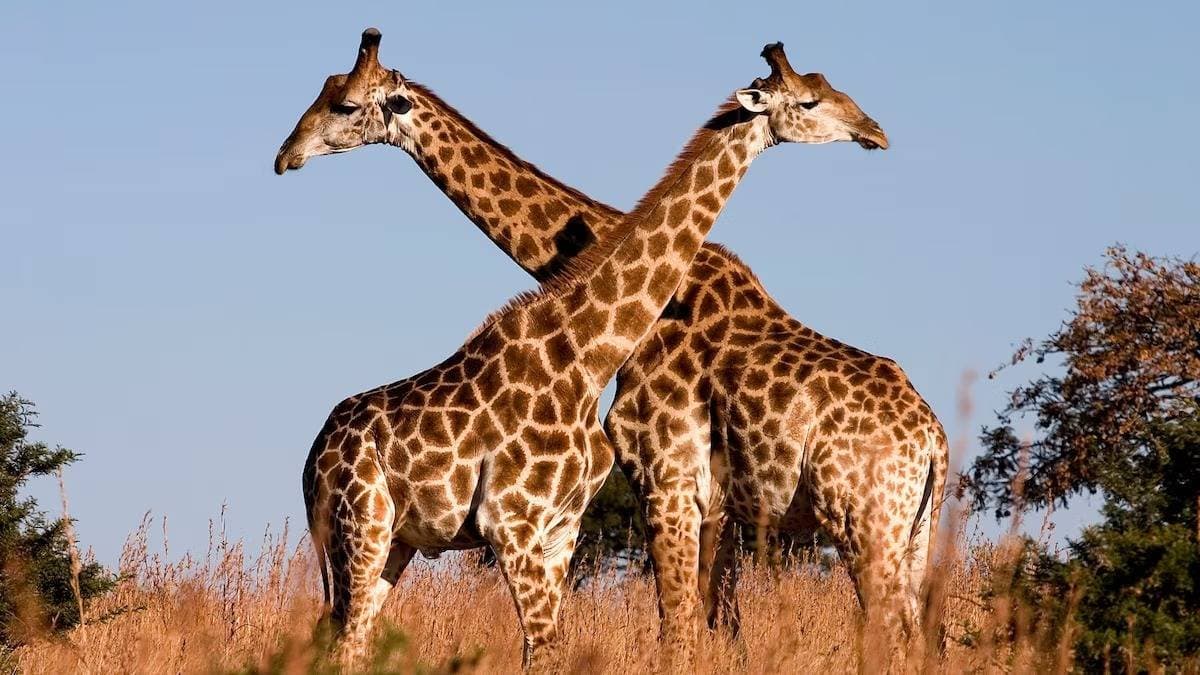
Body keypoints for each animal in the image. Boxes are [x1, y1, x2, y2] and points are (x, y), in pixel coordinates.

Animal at [276, 29, 934, 667]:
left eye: (343, 104)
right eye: (812, 98)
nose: (286, 155)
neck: (584, 345)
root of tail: (934, 439)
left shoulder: (626, 500)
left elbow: (674, 634)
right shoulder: (632, 502)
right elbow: (687, 633)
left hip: (875, 524)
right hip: (367, 529)